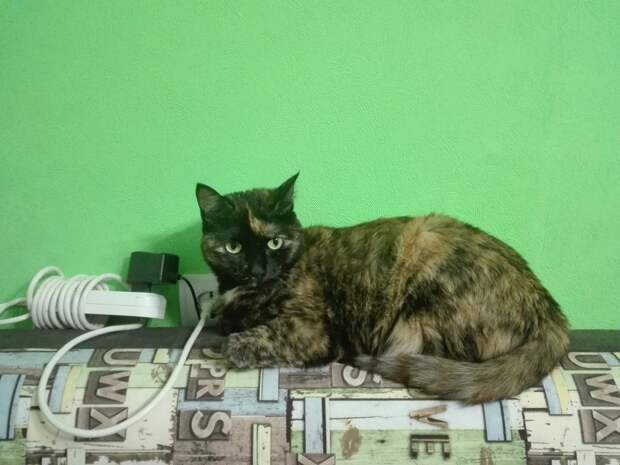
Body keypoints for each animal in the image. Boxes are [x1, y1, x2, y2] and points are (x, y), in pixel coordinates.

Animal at [196, 173, 569, 403]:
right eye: (233, 248)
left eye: (274, 242)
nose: (258, 271)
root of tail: (550, 310)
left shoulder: (310, 331)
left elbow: (258, 336)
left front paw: (233, 346)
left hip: (424, 263)